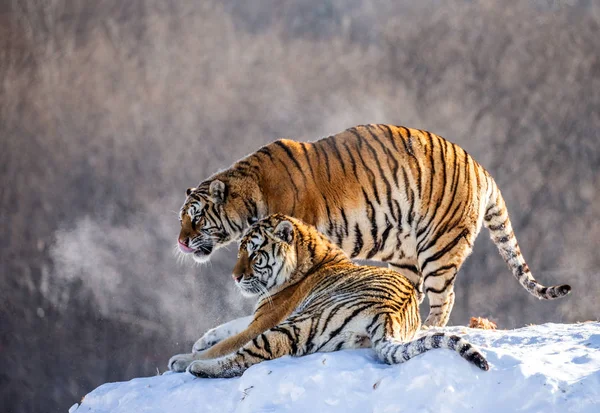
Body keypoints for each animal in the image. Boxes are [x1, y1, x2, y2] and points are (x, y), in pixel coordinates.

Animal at [168, 214, 488, 378]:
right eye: (239, 252)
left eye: (255, 253)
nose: (234, 277)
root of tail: (389, 314)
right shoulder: (261, 313)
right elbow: (230, 325)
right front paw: (202, 339)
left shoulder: (266, 319)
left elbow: (230, 342)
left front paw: (188, 355)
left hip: (297, 323)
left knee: (246, 357)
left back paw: (194, 366)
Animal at [179, 123, 572, 332]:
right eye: (180, 218)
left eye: (196, 217)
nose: (181, 242)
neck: (249, 194)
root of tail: (480, 167)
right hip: (405, 254)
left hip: (439, 247)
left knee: (445, 296)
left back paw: (429, 327)